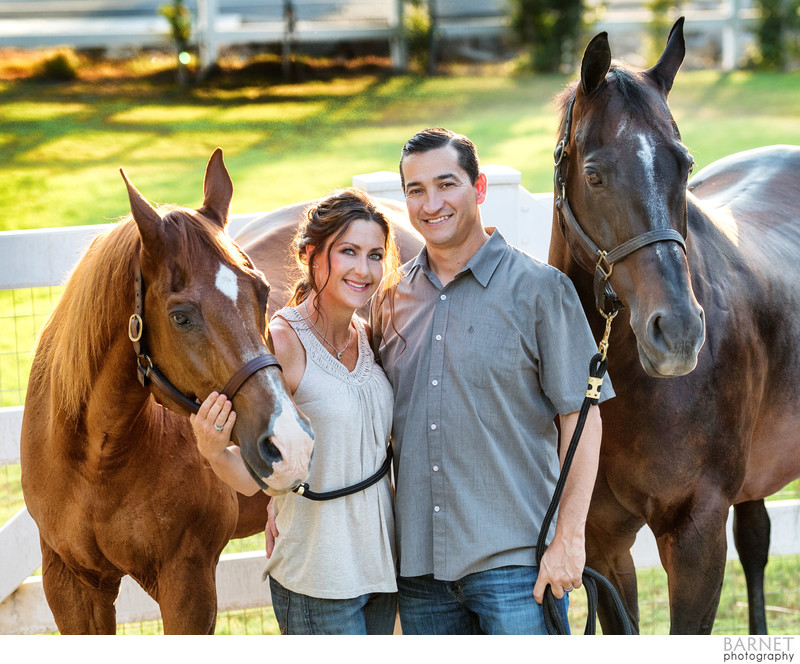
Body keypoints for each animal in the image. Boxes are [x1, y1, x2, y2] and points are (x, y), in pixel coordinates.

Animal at [20, 149, 318, 632]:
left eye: (262, 292)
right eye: (181, 316)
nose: (289, 443)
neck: (96, 457)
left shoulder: (188, 583)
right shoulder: (70, 584)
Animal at [548, 18, 800, 636]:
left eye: (683, 165)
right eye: (594, 173)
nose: (680, 333)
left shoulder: (695, 534)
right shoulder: (602, 543)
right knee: (756, 540)